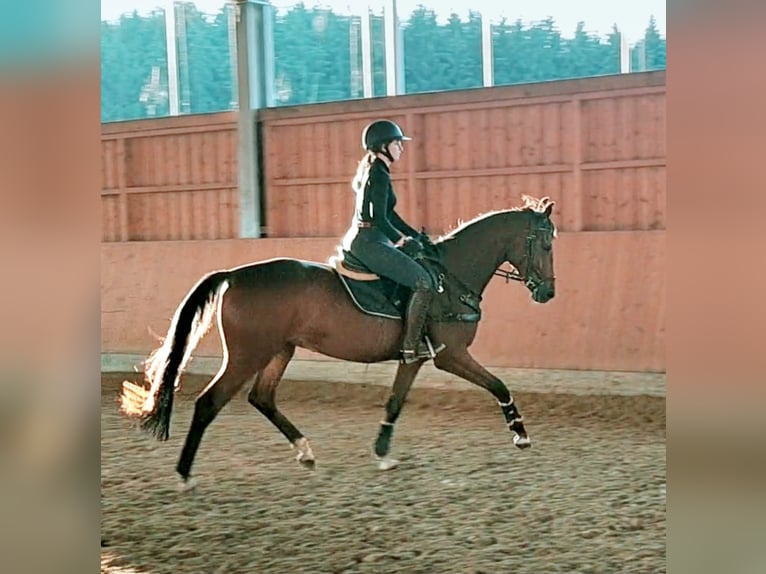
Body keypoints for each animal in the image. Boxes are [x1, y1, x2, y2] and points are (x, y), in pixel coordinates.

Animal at [121, 197, 560, 490]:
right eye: (546, 245)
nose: (548, 294)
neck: (448, 279)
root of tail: (234, 274)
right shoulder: (451, 355)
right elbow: (498, 384)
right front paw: (520, 433)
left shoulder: (414, 359)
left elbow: (395, 402)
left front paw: (382, 452)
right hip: (247, 354)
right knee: (209, 402)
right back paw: (184, 475)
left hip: (279, 350)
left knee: (262, 398)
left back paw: (304, 450)